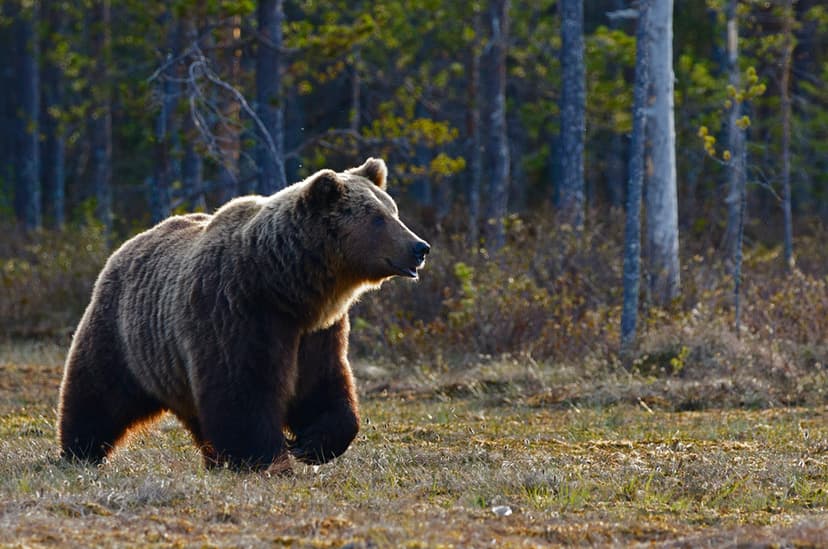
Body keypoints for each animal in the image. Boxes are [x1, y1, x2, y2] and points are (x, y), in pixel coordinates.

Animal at [57, 156, 430, 468]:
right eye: (378, 218)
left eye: (394, 211)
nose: (420, 247)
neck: (286, 287)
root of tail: (127, 245)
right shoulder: (237, 311)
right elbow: (243, 391)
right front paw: (267, 458)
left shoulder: (317, 331)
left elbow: (324, 386)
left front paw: (310, 444)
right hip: (124, 335)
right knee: (97, 392)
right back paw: (80, 451)